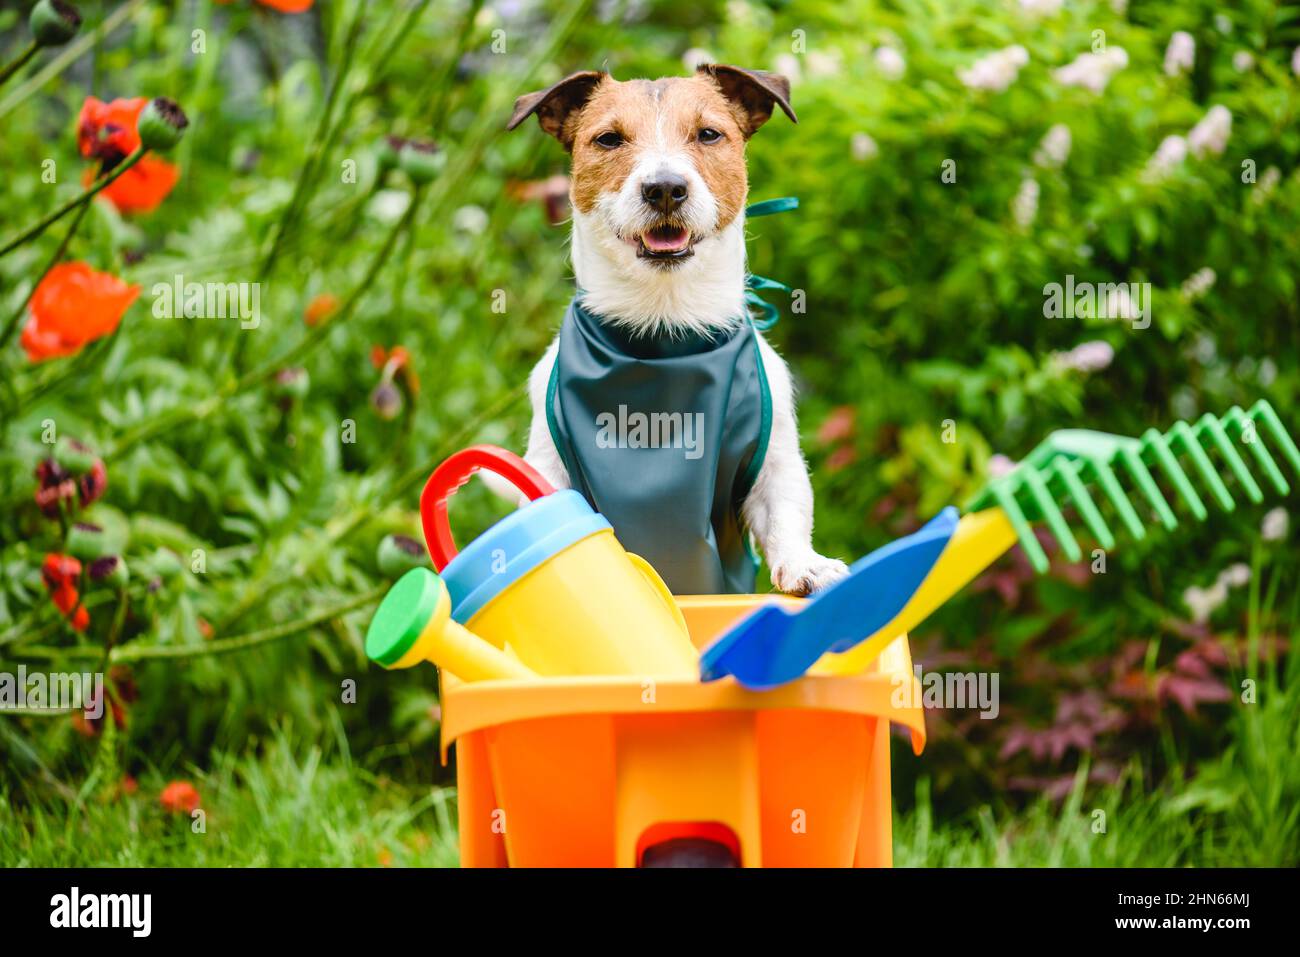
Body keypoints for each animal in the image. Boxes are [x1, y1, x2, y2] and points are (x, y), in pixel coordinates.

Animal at [501, 63, 847, 595]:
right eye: (608, 139)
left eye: (708, 134)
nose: (664, 187)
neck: (662, 327)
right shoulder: (548, 466)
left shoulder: (775, 464)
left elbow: (786, 512)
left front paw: (804, 564)